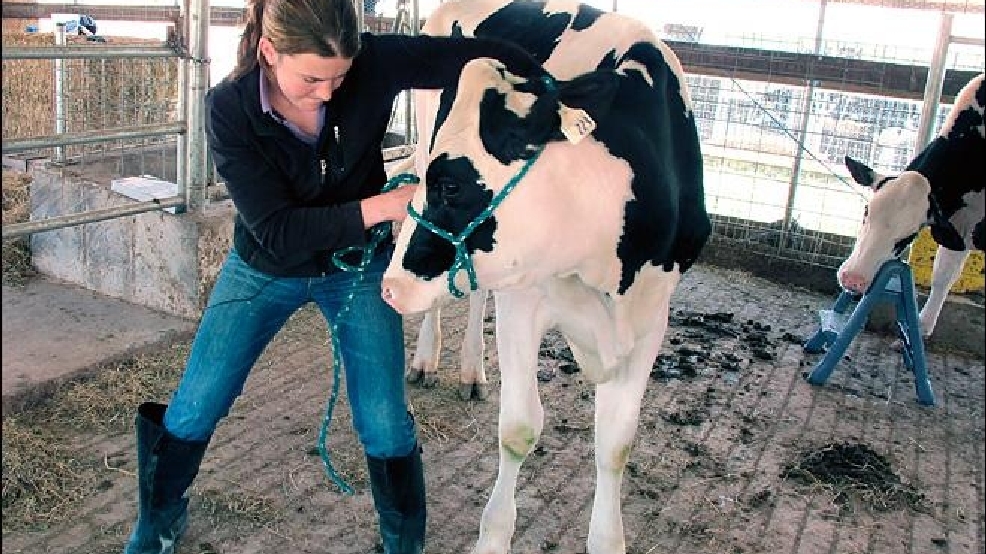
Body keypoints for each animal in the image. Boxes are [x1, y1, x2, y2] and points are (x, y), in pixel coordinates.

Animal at [381, 1, 711, 553]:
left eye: (450, 185)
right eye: (430, 176)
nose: (390, 286)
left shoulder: (651, 316)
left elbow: (615, 444)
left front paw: (607, 538)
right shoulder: (525, 301)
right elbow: (519, 429)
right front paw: (493, 536)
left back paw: (471, 369)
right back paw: (427, 358)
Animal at [839, 72, 985, 338]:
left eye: (910, 236)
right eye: (866, 212)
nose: (853, 279)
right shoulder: (960, 224)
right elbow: (943, 274)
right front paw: (923, 325)